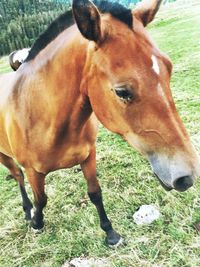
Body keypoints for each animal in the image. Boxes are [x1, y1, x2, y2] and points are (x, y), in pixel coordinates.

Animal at [0, 0, 199, 247]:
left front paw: (110, 233)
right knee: (17, 177)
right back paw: (28, 212)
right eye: (122, 92)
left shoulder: (88, 156)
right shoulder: (32, 171)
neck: (44, 116)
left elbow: (95, 192)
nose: (188, 176)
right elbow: (41, 199)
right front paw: (37, 222)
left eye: (169, 69)